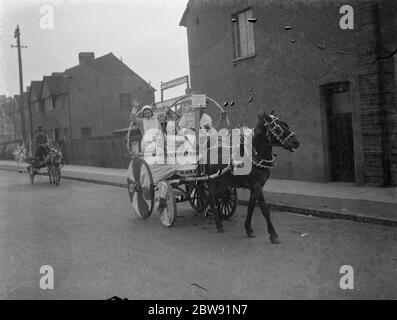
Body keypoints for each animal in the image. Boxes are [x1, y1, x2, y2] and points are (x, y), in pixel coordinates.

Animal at [206, 111, 298, 244]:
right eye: (277, 128)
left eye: (287, 124)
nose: (296, 142)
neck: (256, 156)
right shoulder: (257, 186)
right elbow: (265, 209)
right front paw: (273, 235)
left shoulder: (256, 187)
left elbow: (251, 207)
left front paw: (249, 229)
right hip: (212, 180)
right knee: (211, 198)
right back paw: (218, 224)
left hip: (224, 182)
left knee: (218, 196)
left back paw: (219, 217)